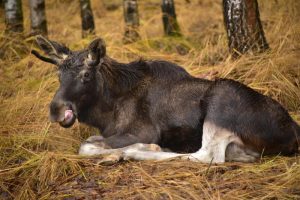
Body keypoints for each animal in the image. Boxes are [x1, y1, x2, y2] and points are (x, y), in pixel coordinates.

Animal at [31, 36, 298, 163]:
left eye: (86, 74)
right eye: (58, 75)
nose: (56, 110)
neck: (107, 111)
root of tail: (294, 132)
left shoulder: (142, 131)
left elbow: (84, 146)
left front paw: (124, 150)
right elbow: (91, 141)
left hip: (222, 99)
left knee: (207, 156)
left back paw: (135, 152)